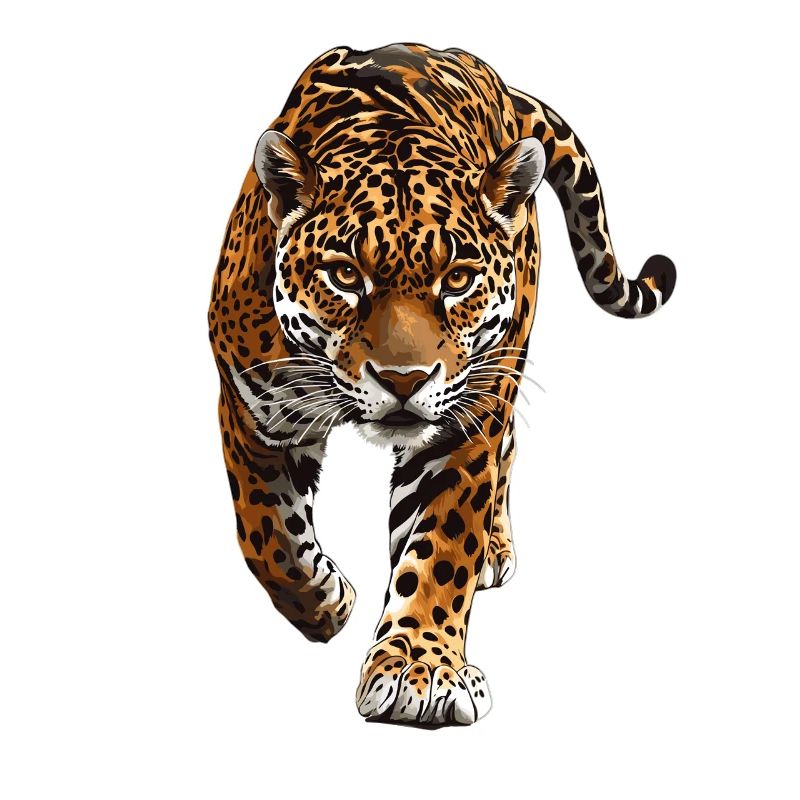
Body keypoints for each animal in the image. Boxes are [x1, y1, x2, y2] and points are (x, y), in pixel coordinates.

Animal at [208, 43, 676, 727]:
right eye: (345, 275)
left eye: (456, 278)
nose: (403, 379)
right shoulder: (252, 411)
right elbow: (266, 537)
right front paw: (327, 604)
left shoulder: (462, 429)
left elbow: (440, 549)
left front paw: (420, 670)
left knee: (507, 451)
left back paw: (494, 550)